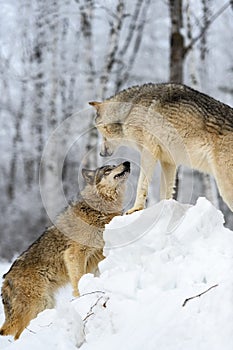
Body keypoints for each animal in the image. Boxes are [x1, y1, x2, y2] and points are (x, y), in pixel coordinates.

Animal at [0, 161, 130, 340]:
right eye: (108, 170)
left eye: (114, 164)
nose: (127, 163)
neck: (99, 211)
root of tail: (6, 278)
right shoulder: (75, 254)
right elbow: (79, 280)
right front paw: (82, 298)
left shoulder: (98, 254)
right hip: (39, 305)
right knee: (17, 335)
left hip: (46, 304)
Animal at [89, 83, 233, 215]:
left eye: (100, 132)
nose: (101, 153)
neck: (129, 110)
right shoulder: (168, 161)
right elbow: (166, 192)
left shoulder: (148, 151)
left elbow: (141, 184)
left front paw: (136, 209)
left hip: (225, 187)